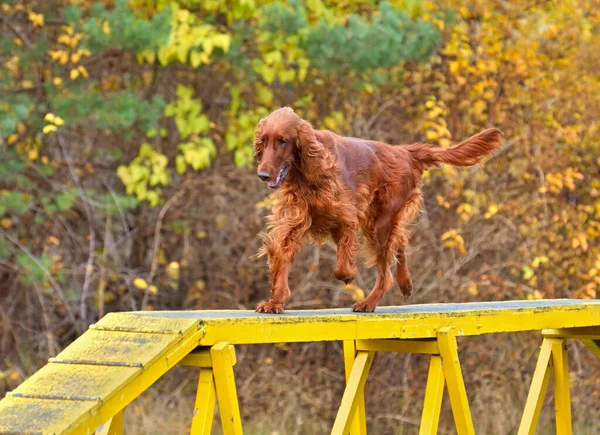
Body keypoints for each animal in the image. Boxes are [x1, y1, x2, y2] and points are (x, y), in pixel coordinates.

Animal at [253, 108, 502, 314]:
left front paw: (349, 275)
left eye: (283, 141)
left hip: (380, 222)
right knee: (400, 240)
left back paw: (370, 301)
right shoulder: (293, 222)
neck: (307, 172)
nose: (262, 175)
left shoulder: (347, 218)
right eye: (263, 141)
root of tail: (404, 152)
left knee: (386, 271)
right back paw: (405, 283)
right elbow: (282, 257)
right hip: (381, 221)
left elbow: (341, 267)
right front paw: (275, 301)